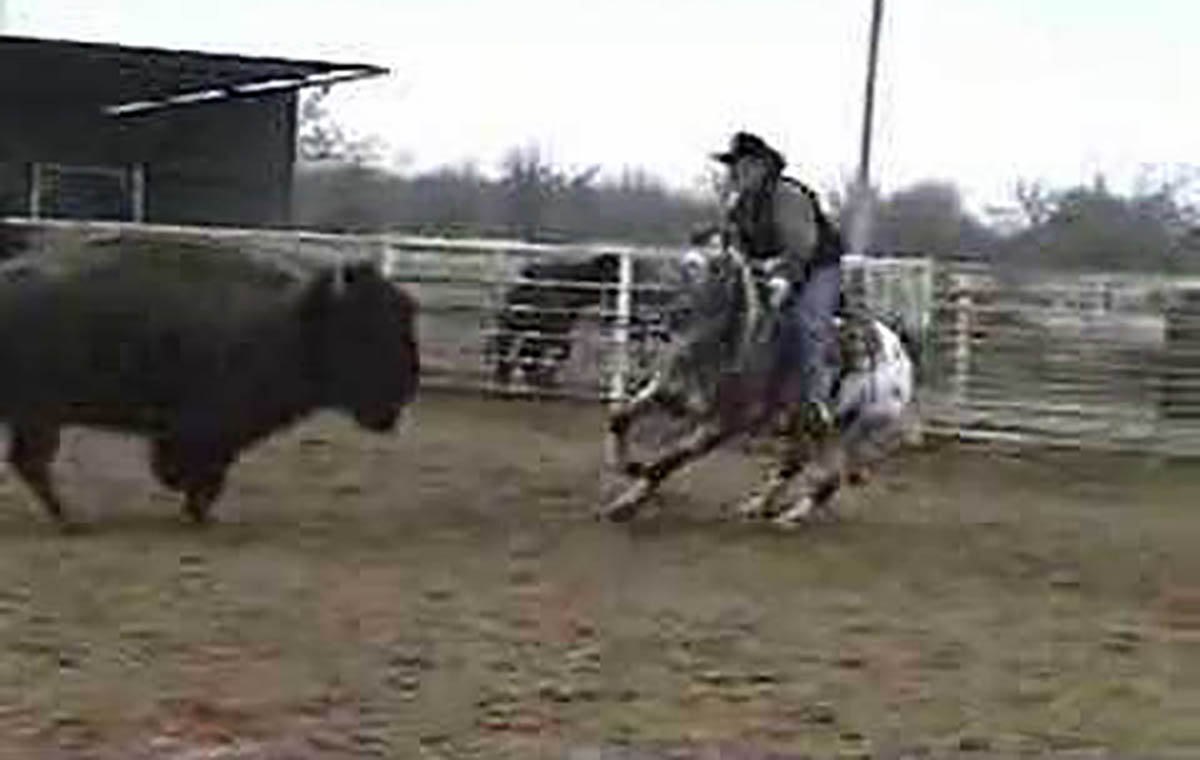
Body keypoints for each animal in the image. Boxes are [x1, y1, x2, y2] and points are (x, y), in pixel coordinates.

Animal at [0, 225, 422, 528]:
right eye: (364, 330)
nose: (406, 385)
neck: (293, 321)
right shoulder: (209, 430)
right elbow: (198, 472)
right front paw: (197, 509)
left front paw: (195, 508)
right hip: (41, 415)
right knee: (32, 462)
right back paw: (70, 519)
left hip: (35, 417)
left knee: (28, 463)